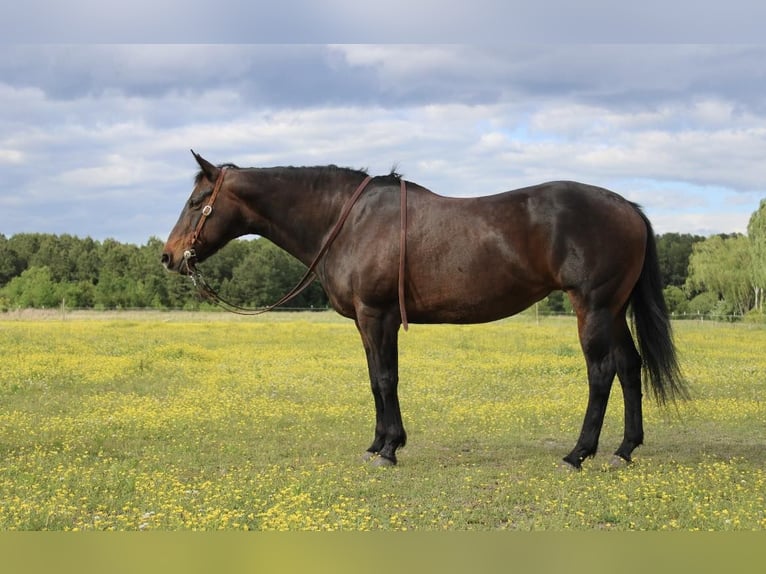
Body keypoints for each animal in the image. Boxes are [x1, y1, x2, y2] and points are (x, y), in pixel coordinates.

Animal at [162, 151, 688, 470]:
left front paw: (390, 450)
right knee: (630, 367)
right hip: (613, 309)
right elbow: (374, 380)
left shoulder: (378, 316)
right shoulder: (367, 322)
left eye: (197, 201)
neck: (349, 222)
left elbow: (386, 379)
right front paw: (377, 444)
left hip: (593, 307)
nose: (168, 257)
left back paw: (578, 454)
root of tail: (627, 207)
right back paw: (623, 450)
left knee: (602, 372)